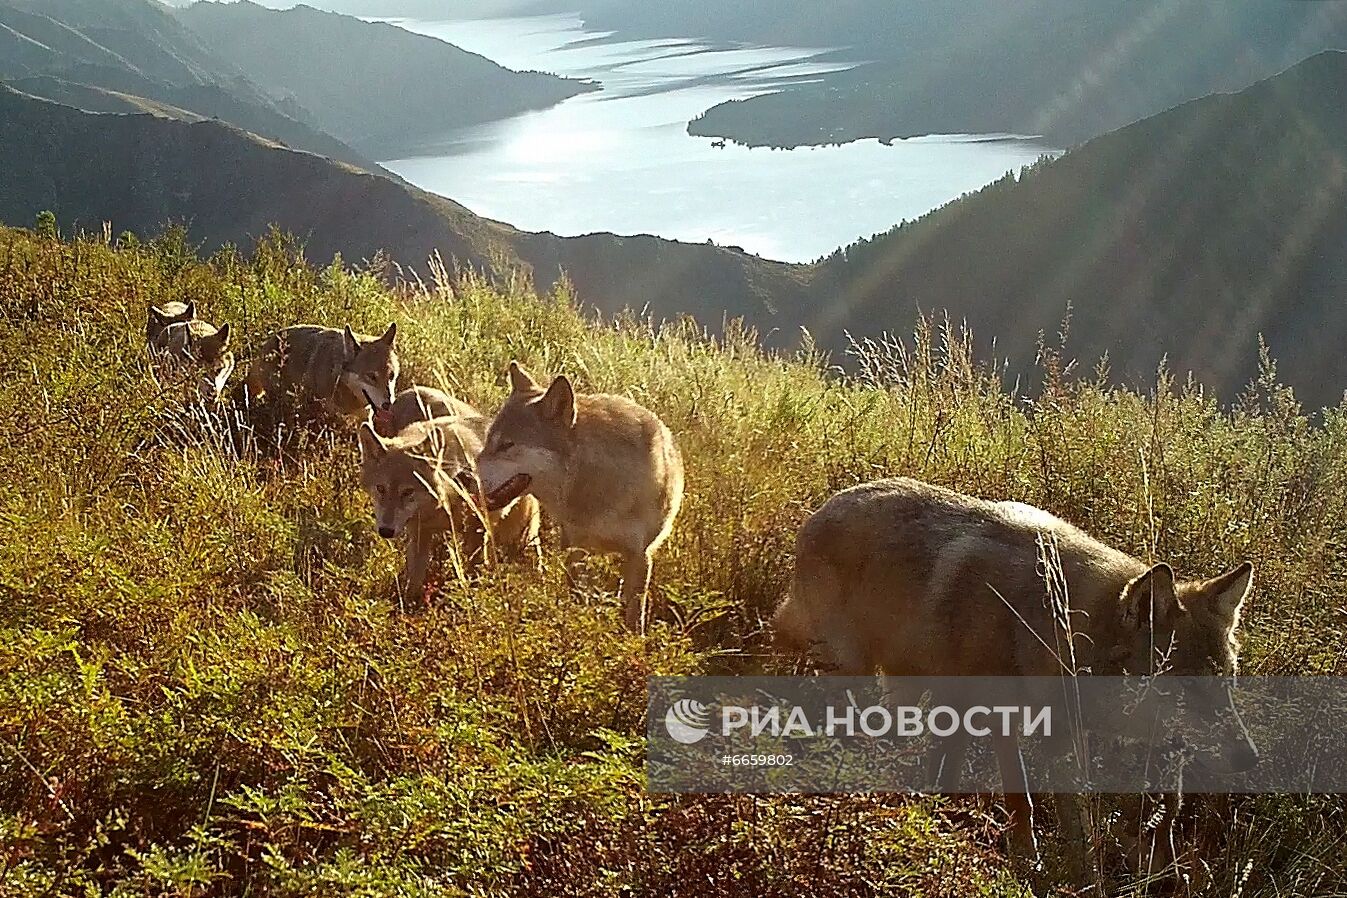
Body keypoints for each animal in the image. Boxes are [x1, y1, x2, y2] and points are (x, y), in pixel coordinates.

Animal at [363, 414, 546, 603]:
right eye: (380, 488)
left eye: (407, 492)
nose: (385, 531)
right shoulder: (419, 534)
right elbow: (413, 581)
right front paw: (409, 605)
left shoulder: (477, 529)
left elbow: (474, 571)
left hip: (522, 536)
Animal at [474, 360, 684, 635]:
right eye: (489, 442)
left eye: (507, 445)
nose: (464, 476)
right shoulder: (574, 548)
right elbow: (578, 599)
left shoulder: (641, 554)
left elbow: (634, 615)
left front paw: (633, 642)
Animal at [775, 476, 1255, 856]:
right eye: (1187, 689)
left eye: (1228, 681)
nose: (1249, 758)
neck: (1051, 624)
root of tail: (823, 507)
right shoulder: (995, 716)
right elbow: (1021, 798)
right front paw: (1028, 863)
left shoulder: (1055, 732)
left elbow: (1084, 822)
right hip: (850, 671)